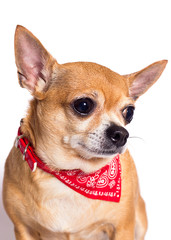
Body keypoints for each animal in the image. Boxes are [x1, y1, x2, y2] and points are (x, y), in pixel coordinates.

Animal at [2, 24, 168, 240]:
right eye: (83, 105)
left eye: (129, 112)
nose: (122, 133)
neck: (69, 174)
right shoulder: (23, 229)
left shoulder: (123, 228)